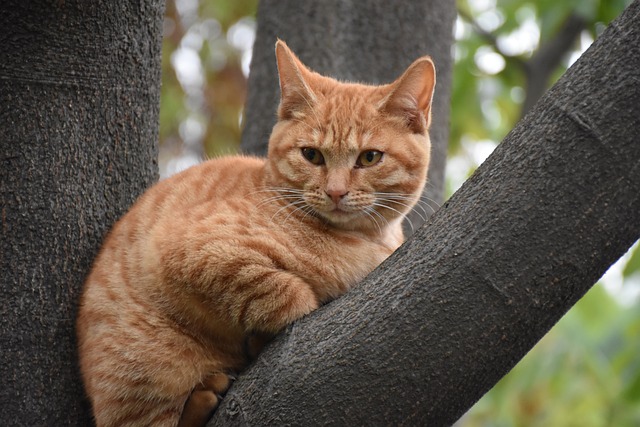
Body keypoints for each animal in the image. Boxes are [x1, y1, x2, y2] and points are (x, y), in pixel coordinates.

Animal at [75, 41, 436, 427]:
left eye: (369, 158)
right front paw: (266, 334)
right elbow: (288, 293)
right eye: (312, 155)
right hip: (150, 364)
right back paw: (205, 396)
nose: (336, 192)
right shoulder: (190, 250)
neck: (364, 240)